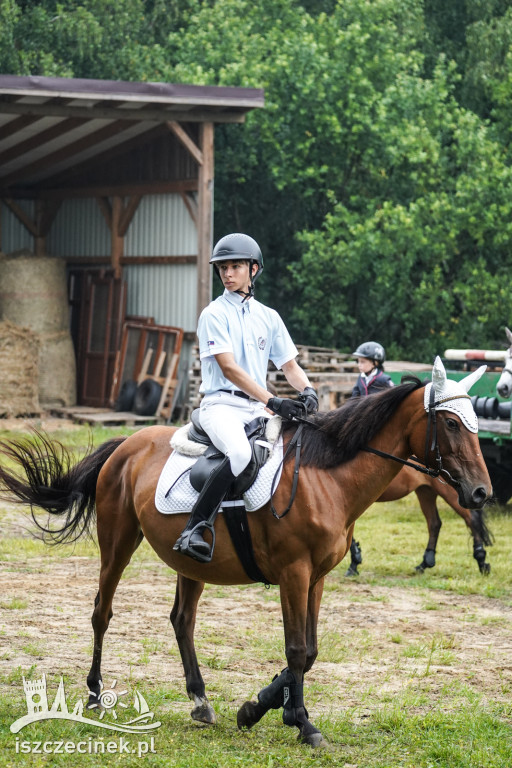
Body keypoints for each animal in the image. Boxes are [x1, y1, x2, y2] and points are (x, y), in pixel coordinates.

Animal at [0, 362, 490, 752]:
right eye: (450, 424)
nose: (482, 492)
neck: (326, 477)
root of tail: (127, 444)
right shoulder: (294, 574)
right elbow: (296, 650)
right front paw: (295, 721)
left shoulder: (317, 578)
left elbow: (310, 650)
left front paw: (271, 708)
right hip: (117, 542)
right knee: (102, 612)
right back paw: (94, 694)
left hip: (190, 563)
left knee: (182, 620)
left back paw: (200, 700)